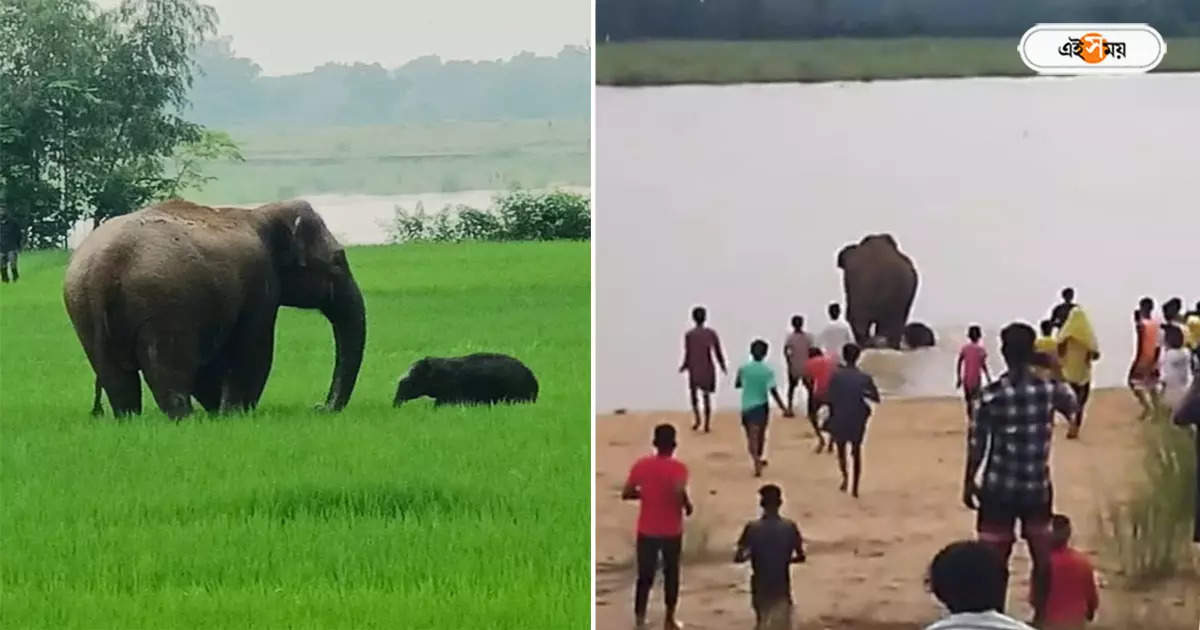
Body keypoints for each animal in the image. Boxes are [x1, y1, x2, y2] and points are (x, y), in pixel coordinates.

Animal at [64, 199, 364, 420]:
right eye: (338, 260)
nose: (320, 408)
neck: (262, 213)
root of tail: (105, 266)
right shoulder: (259, 283)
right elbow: (254, 348)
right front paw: (235, 414)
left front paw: (220, 412)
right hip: (163, 306)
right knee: (168, 368)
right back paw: (186, 419)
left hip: (83, 311)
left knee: (116, 377)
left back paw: (131, 419)